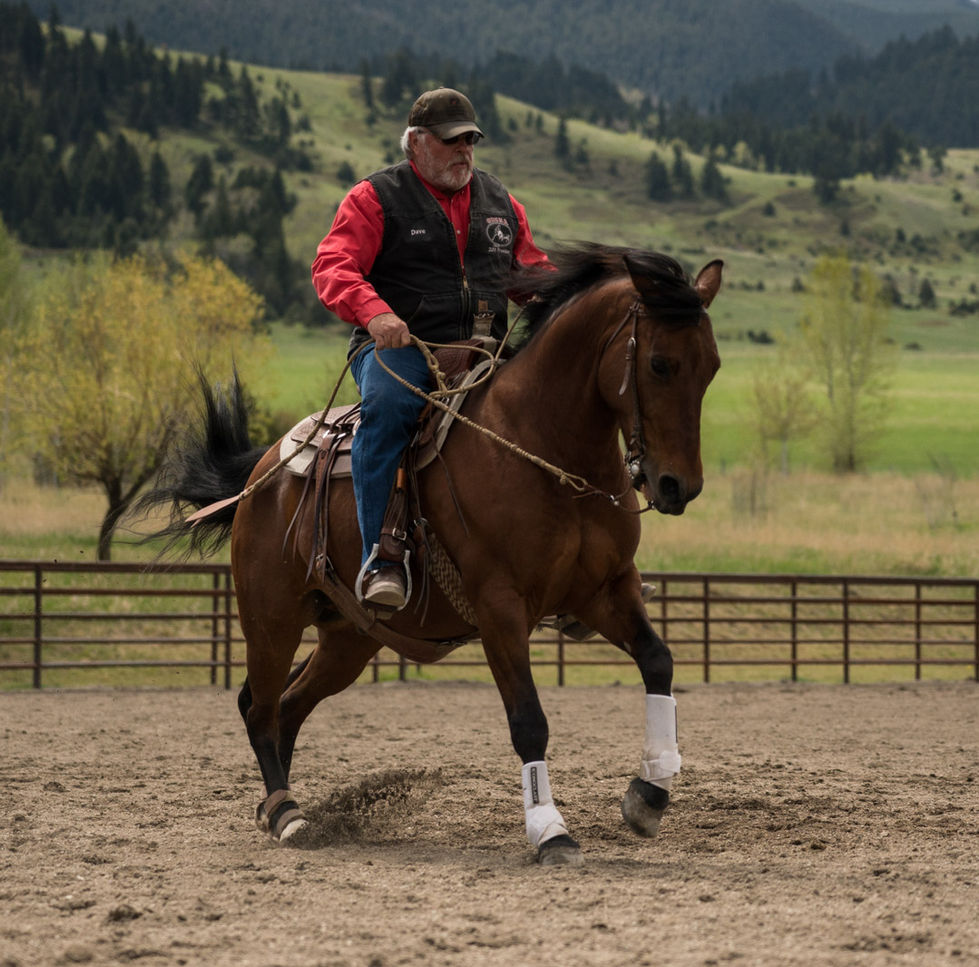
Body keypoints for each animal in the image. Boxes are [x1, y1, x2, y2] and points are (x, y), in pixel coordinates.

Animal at [141, 243, 722, 865]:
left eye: (711, 366)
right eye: (660, 364)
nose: (677, 486)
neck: (542, 445)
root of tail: (265, 471)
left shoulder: (607, 589)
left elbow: (658, 660)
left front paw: (649, 794)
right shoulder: (499, 608)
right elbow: (529, 721)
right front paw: (550, 830)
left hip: (349, 638)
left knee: (288, 706)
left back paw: (281, 806)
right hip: (271, 619)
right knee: (261, 706)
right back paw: (286, 814)